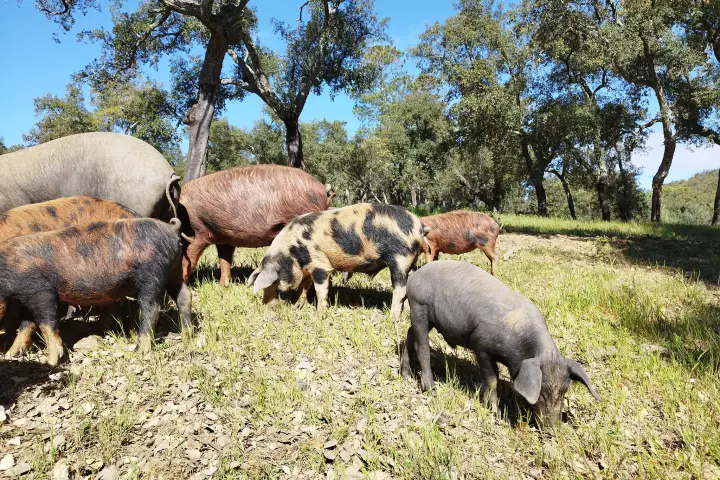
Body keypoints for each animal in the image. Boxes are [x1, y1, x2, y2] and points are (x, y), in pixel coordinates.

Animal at [0, 218, 191, 365]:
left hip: (152, 274)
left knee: (151, 308)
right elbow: (26, 325)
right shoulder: (26, 299)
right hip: (174, 269)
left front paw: (51, 362)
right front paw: (10, 355)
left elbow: (46, 324)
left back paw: (139, 350)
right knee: (184, 296)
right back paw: (186, 335)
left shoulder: (42, 291)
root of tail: (170, 228)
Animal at [178, 164, 334, 286]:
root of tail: (322, 189)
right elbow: (224, 260)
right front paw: (223, 286)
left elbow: (188, 260)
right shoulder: (223, 237)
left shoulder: (199, 231)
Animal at [248, 203, 427, 320]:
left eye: (277, 288)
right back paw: (406, 315)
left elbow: (320, 290)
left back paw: (392, 318)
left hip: (400, 258)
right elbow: (303, 288)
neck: (293, 252)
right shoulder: (308, 268)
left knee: (400, 289)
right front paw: (298, 306)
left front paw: (319, 315)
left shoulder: (320, 263)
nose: (266, 308)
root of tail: (419, 224)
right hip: (411, 262)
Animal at [402, 260, 600, 425]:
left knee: (409, 334)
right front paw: (495, 413)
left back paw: (405, 374)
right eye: (542, 392)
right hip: (419, 306)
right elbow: (492, 380)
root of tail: (414, 277)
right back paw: (430, 389)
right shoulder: (481, 346)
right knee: (422, 345)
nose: (554, 429)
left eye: (565, 391)